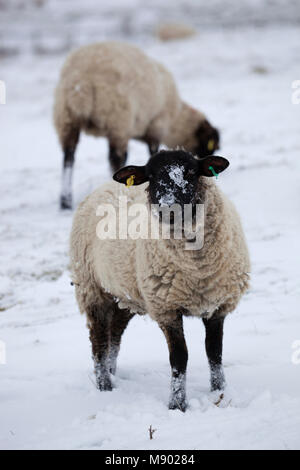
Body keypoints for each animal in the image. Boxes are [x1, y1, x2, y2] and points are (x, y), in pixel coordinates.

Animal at [53, 42, 218, 209]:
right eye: (208, 144)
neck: (176, 120)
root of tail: (81, 83)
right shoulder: (155, 125)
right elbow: (152, 152)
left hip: (67, 119)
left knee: (68, 156)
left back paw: (65, 201)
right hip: (118, 119)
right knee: (115, 158)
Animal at [69, 151, 250, 412]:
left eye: (192, 172)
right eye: (151, 176)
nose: (168, 208)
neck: (197, 271)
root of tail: (106, 184)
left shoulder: (217, 305)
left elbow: (214, 352)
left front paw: (220, 392)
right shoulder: (167, 309)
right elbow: (180, 357)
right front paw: (177, 404)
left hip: (126, 293)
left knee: (115, 334)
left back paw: (112, 373)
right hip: (91, 288)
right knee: (99, 341)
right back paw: (105, 386)